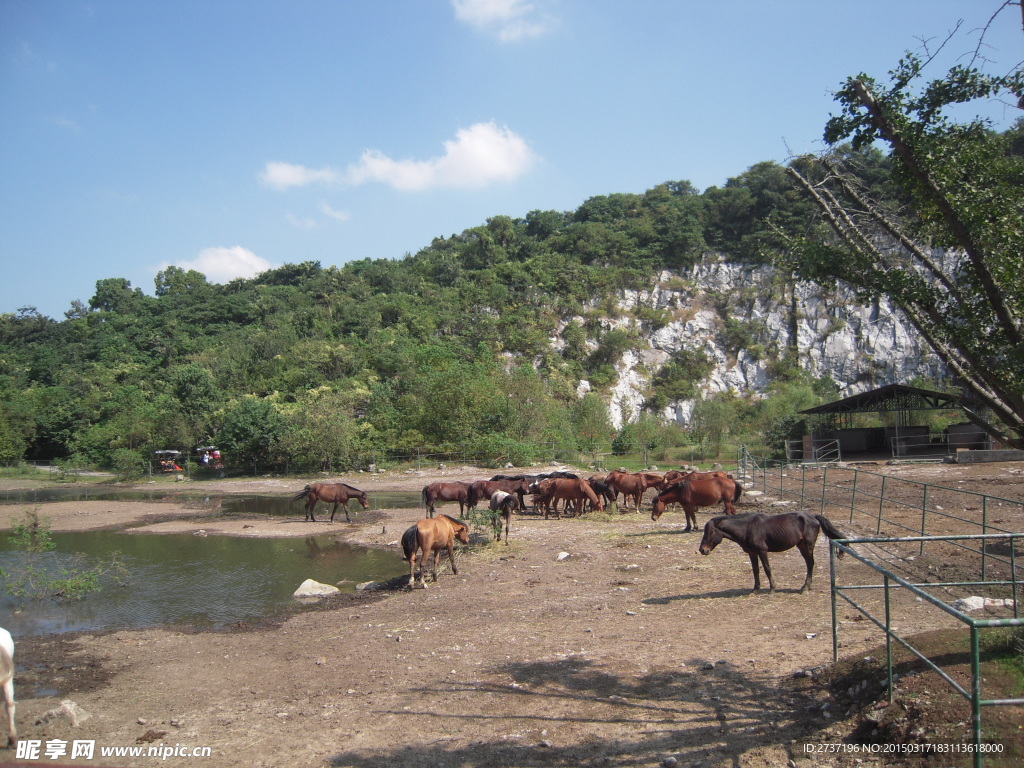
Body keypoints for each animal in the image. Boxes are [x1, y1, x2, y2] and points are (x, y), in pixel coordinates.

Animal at [696, 512, 847, 593]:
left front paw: (772, 588)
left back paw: (805, 587)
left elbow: (767, 569)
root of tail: (814, 517)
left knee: (810, 563)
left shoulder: (762, 551)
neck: (748, 528)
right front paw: (755, 589)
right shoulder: (752, 553)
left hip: (808, 545)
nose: (703, 550)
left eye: (711, 531)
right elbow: (756, 570)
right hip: (801, 546)